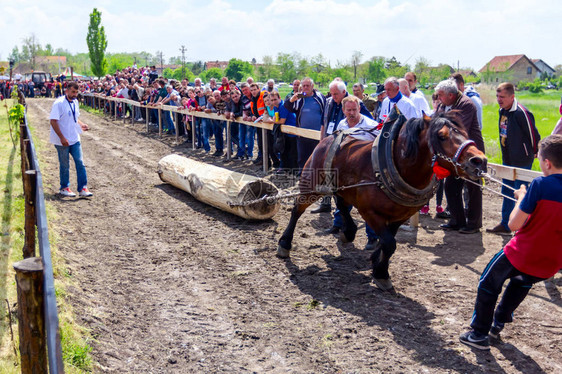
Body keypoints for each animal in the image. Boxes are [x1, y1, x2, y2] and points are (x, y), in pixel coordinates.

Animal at [276, 109, 486, 290]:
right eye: (441, 136)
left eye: (465, 132)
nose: (479, 161)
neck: (397, 166)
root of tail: (328, 138)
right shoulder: (370, 212)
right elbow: (389, 243)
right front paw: (382, 274)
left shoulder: (402, 214)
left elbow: (388, 241)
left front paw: (377, 262)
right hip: (311, 184)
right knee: (297, 209)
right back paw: (285, 244)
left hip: (342, 187)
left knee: (341, 204)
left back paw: (348, 232)